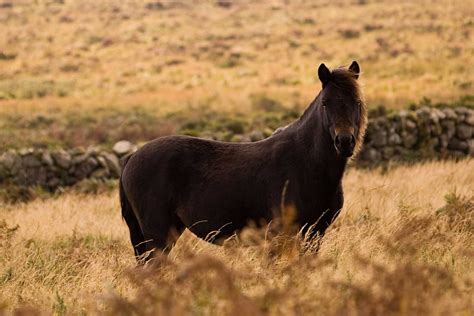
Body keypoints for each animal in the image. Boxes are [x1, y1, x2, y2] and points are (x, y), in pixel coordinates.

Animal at [118, 61, 366, 262]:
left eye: (357, 102)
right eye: (325, 103)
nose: (344, 142)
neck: (307, 165)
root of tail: (132, 158)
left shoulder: (315, 232)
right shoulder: (283, 233)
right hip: (157, 235)